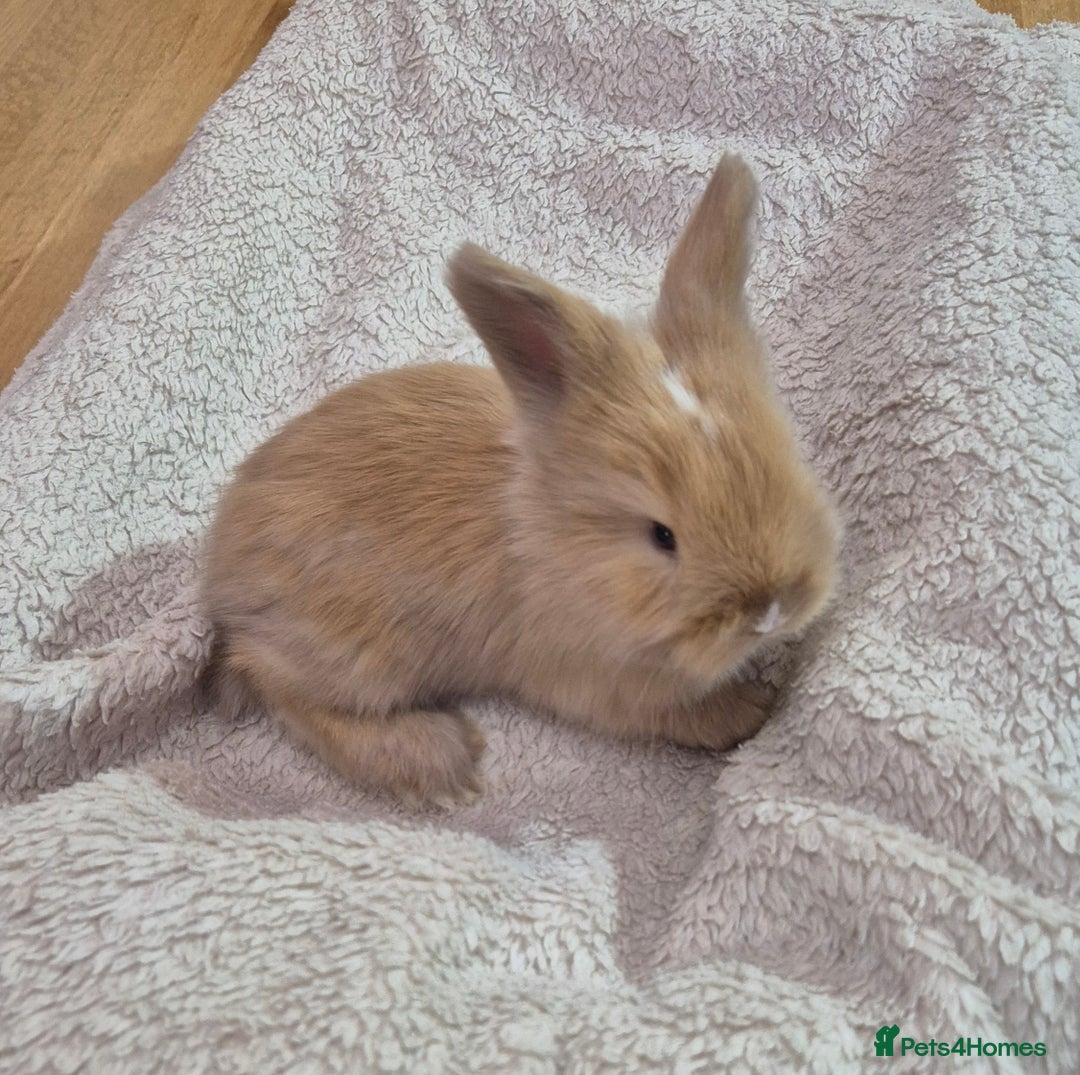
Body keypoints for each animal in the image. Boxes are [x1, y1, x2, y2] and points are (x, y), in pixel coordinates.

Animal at [201, 155, 839, 807]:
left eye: (788, 464)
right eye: (663, 536)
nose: (771, 610)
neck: (560, 543)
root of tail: (222, 571)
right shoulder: (601, 681)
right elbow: (682, 714)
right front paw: (752, 708)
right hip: (356, 656)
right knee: (280, 686)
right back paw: (442, 763)